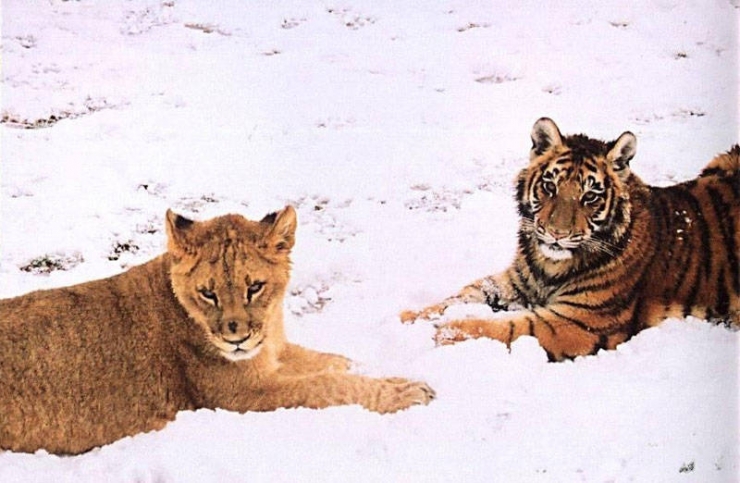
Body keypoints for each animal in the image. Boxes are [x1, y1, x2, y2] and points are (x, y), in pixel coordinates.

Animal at [0, 206, 434, 454]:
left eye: (254, 287)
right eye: (208, 293)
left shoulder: (273, 354)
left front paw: (380, 370)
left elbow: (334, 362)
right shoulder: (243, 395)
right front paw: (407, 391)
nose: (235, 339)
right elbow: (326, 386)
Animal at [401, 117, 739, 361]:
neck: (549, 264)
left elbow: (496, 328)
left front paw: (440, 333)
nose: (556, 234)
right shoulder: (515, 284)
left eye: (590, 196)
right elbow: (458, 297)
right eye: (550, 186)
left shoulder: (576, 321)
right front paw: (409, 317)